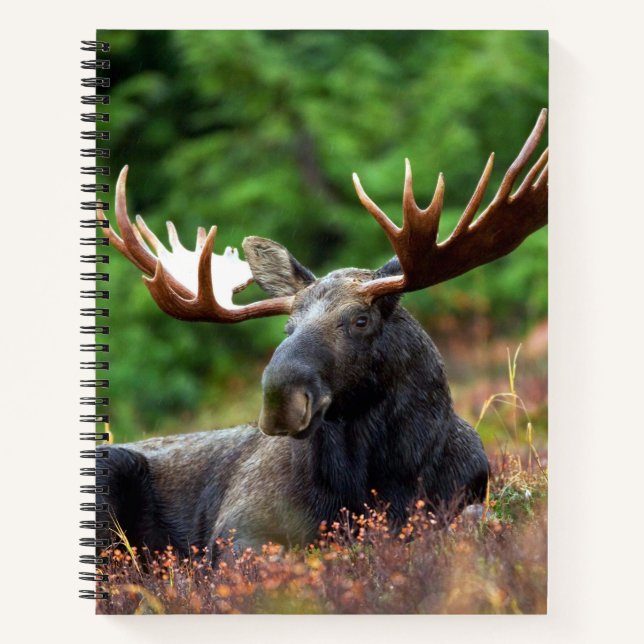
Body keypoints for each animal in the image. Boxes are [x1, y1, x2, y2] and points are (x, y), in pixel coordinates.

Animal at [96, 109, 548, 555]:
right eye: (288, 325)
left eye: (361, 320)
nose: (279, 399)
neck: (384, 477)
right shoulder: (239, 526)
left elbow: (474, 520)